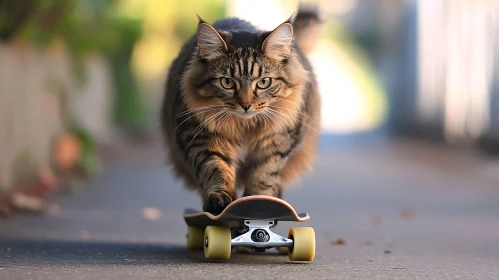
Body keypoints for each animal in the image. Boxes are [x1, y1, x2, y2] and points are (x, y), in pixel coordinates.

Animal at [162, 3, 322, 213]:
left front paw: (257, 201)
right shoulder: (198, 136)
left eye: (264, 82)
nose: (246, 105)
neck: (244, 127)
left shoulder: (277, 142)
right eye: (227, 82)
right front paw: (220, 201)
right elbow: (216, 169)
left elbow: (264, 175)